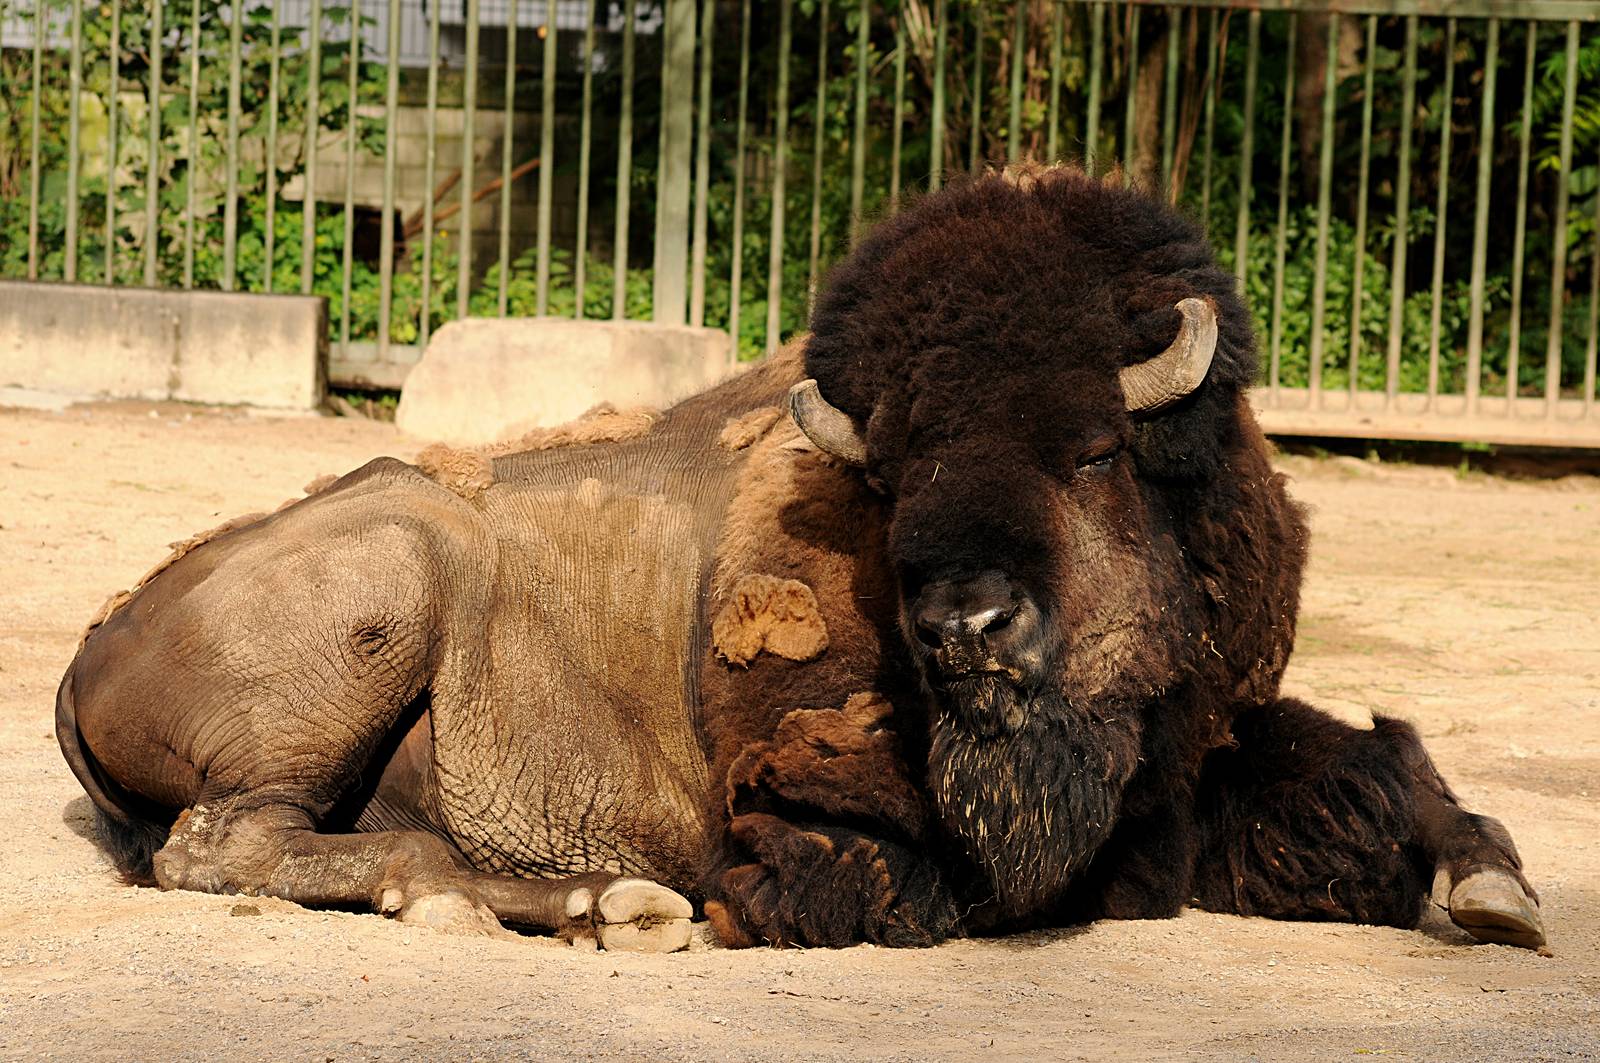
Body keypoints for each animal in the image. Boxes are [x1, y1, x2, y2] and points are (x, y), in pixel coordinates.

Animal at [57, 165, 1544, 952]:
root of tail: (91, 644)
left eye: (1093, 450)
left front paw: (1497, 887)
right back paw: (566, 899)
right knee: (229, 840)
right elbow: (888, 879)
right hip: (395, 585)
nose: (966, 626)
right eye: (891, 477)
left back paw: (601, 902)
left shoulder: (1218, 727)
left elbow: (1374, 768)